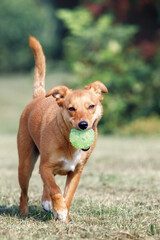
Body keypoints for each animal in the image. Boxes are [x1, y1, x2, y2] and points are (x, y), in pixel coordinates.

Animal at [17, 36, 107, 222]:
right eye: (71, 108)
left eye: (91, 106)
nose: (83, 125)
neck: (68, 142)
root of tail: (38, 97)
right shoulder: (45, 166)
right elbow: (55, 189)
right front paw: (59, 210)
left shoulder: (77, 171)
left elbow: (68, 195)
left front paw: (63, 215)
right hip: (25, 163)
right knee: (25, 193)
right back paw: (25, 213)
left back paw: (46, 203)